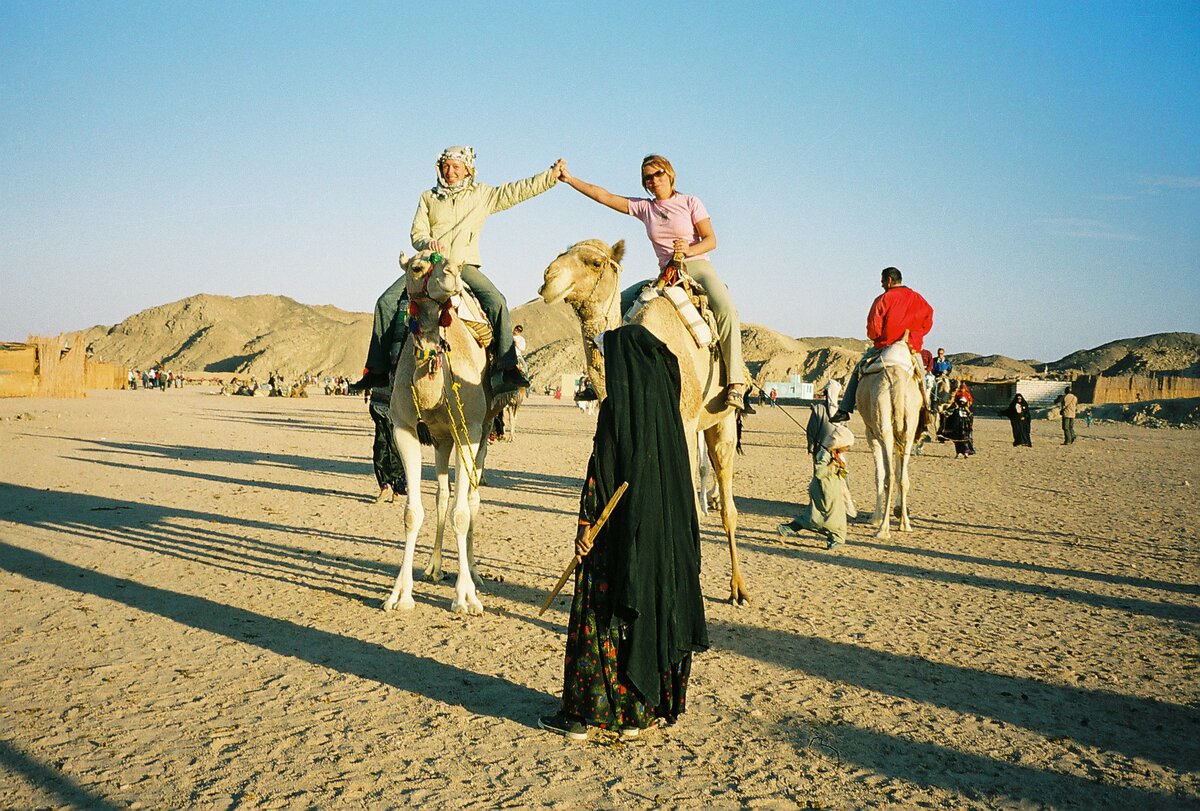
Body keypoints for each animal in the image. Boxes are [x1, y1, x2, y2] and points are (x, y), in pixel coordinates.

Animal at [381, 250, 499, 611]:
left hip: (481, 433)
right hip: (442, 440)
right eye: (417, 267)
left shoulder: (467, 429)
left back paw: (474, 574)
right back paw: (434, 568)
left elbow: (462, 513)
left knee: (472, 498)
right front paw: (400, 595)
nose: (453, 274)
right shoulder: (404, 429)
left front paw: (466, 597)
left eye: (458, 265)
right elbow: (412, 513)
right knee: (442, 496)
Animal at [537, 237, 744, 604]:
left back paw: (738, 588)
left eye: (594, 262)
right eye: (562, 253)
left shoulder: (684, 423)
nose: (549, 277)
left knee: (726, 497)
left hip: (722, 417)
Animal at [849, 340, 921, 537]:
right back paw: (905, 524)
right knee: (902, 477)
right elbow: (898, 472)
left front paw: (875, 518)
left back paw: (882, 529)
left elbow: (878, 475)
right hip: (908, 428)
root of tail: (897, 379)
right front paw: (898, 513)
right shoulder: (899, 438)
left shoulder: (871, 436)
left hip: (883, 427)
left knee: (889, 475)